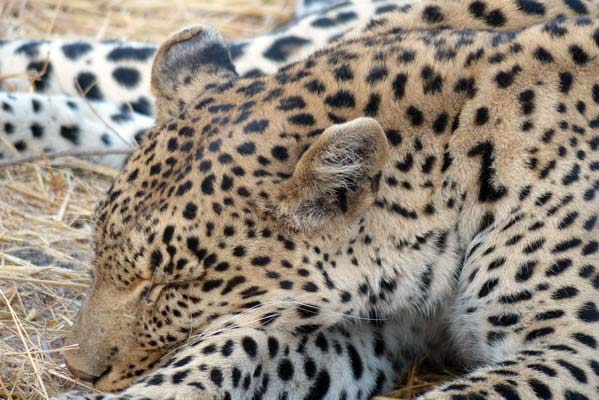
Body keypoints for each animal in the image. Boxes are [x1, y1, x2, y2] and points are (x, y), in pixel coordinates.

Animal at [55, 0, 599, 400]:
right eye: (97, 255)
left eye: (168, 287)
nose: (76, 369)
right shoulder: (369, 322)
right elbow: (239, 344)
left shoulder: (574, 352)